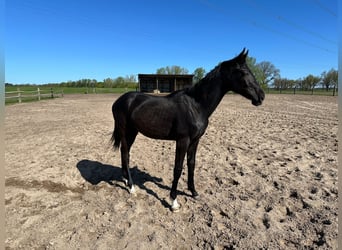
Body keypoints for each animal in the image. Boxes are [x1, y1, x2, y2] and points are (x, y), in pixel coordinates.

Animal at [111, 48, 266, 211]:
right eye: (243, 72)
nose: (261, 96)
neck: (196, 105)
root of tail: (119, 101)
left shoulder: (195, 140)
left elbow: (191, 164)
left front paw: (194, 192)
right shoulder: (182, 141)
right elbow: (178, 168)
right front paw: (174, 201)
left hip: (132, 132)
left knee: (124, 153)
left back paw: (126, 181)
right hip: (125, 131)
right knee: (126, 154)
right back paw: (132, 187)